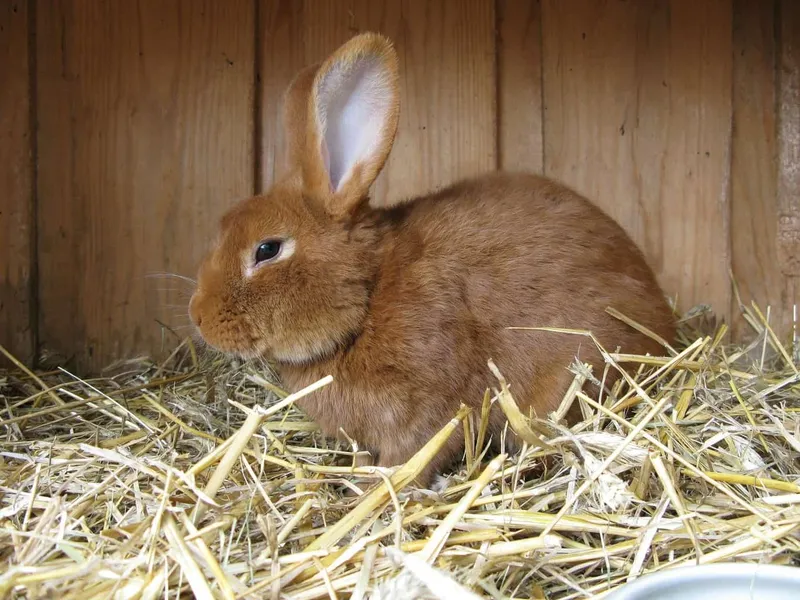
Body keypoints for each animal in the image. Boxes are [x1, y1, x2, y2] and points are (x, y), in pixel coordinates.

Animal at [188, 32, 676, 489]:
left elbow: (415, 453)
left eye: (267, 250)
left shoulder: (429, 404)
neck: (369, 293)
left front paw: (377, 487)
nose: (198, 317)